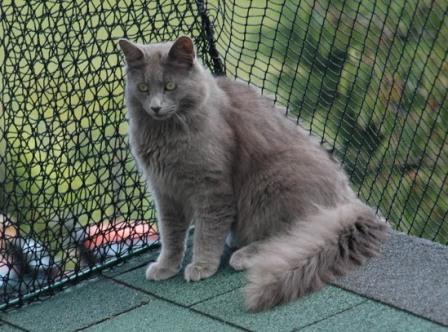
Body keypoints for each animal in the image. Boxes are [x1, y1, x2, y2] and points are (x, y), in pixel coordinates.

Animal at [119, 36, 388, 312]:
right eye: (143, 88)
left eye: (170, 86)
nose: (156, 107)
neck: (166, 134)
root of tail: (349, 201)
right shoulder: (165, 192)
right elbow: (171, 235)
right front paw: (166, 267)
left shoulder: (211, 188)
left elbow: (206, 232)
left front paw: (202, 266)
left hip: (271, 181)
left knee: (290, 236)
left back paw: (242, 254)